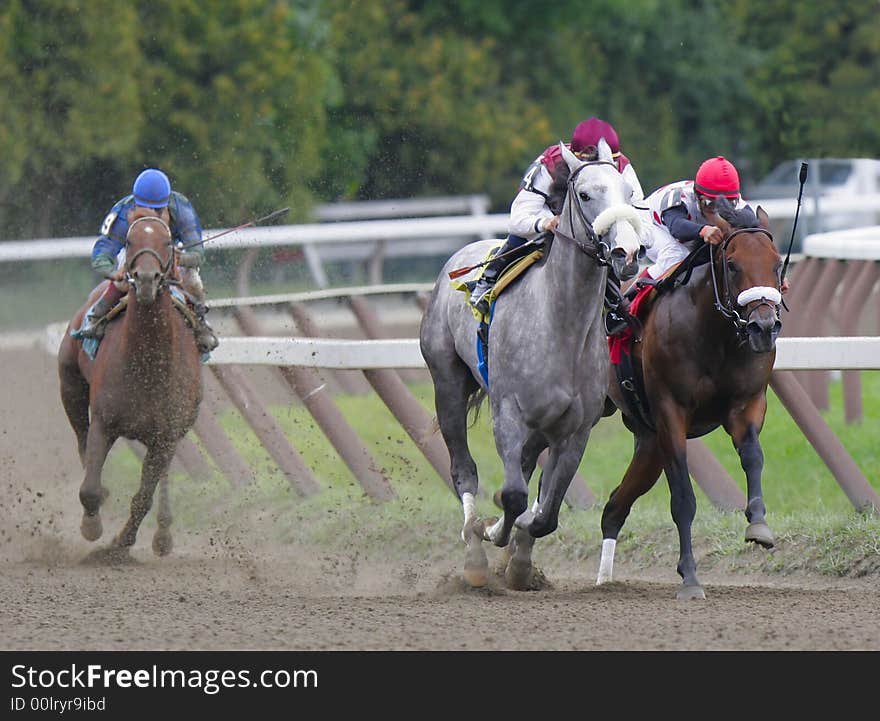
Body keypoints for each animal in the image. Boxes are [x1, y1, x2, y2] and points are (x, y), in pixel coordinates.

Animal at [58, 205, 203, 556]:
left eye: (168, 241)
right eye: (128, 239)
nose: (146, 279)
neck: (147, 363)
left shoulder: (166, 435)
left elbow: (143, 497)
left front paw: (120, 544)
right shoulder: (104, 421)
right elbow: (90, 487)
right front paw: (93, 526)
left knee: (161, 477)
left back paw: (163, 534)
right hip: (70, 385)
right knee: (82, 441)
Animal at [416, 138, 644, 588]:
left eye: (629, 195)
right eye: (585, 194)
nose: (627, 251)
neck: (561, 325)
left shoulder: (575, 430)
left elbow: (545, 512)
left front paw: (520, 565)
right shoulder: (508, 414)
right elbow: (515, 496)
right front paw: (492, 531)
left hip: (541, 427)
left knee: (522, 473)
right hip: (447, 382)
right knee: (464, 470)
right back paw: (475, 554)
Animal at [600, 200, 784, 600]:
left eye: (777, 263)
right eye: (732, 264)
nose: (763, 327)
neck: (714, 333)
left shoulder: (746, 403)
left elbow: (754, 456)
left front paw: (758, 525)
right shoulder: (671, 413)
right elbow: (683, 498)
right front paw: (690, 578)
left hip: (647, 440)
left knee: (615, 506)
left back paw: (603, 578)